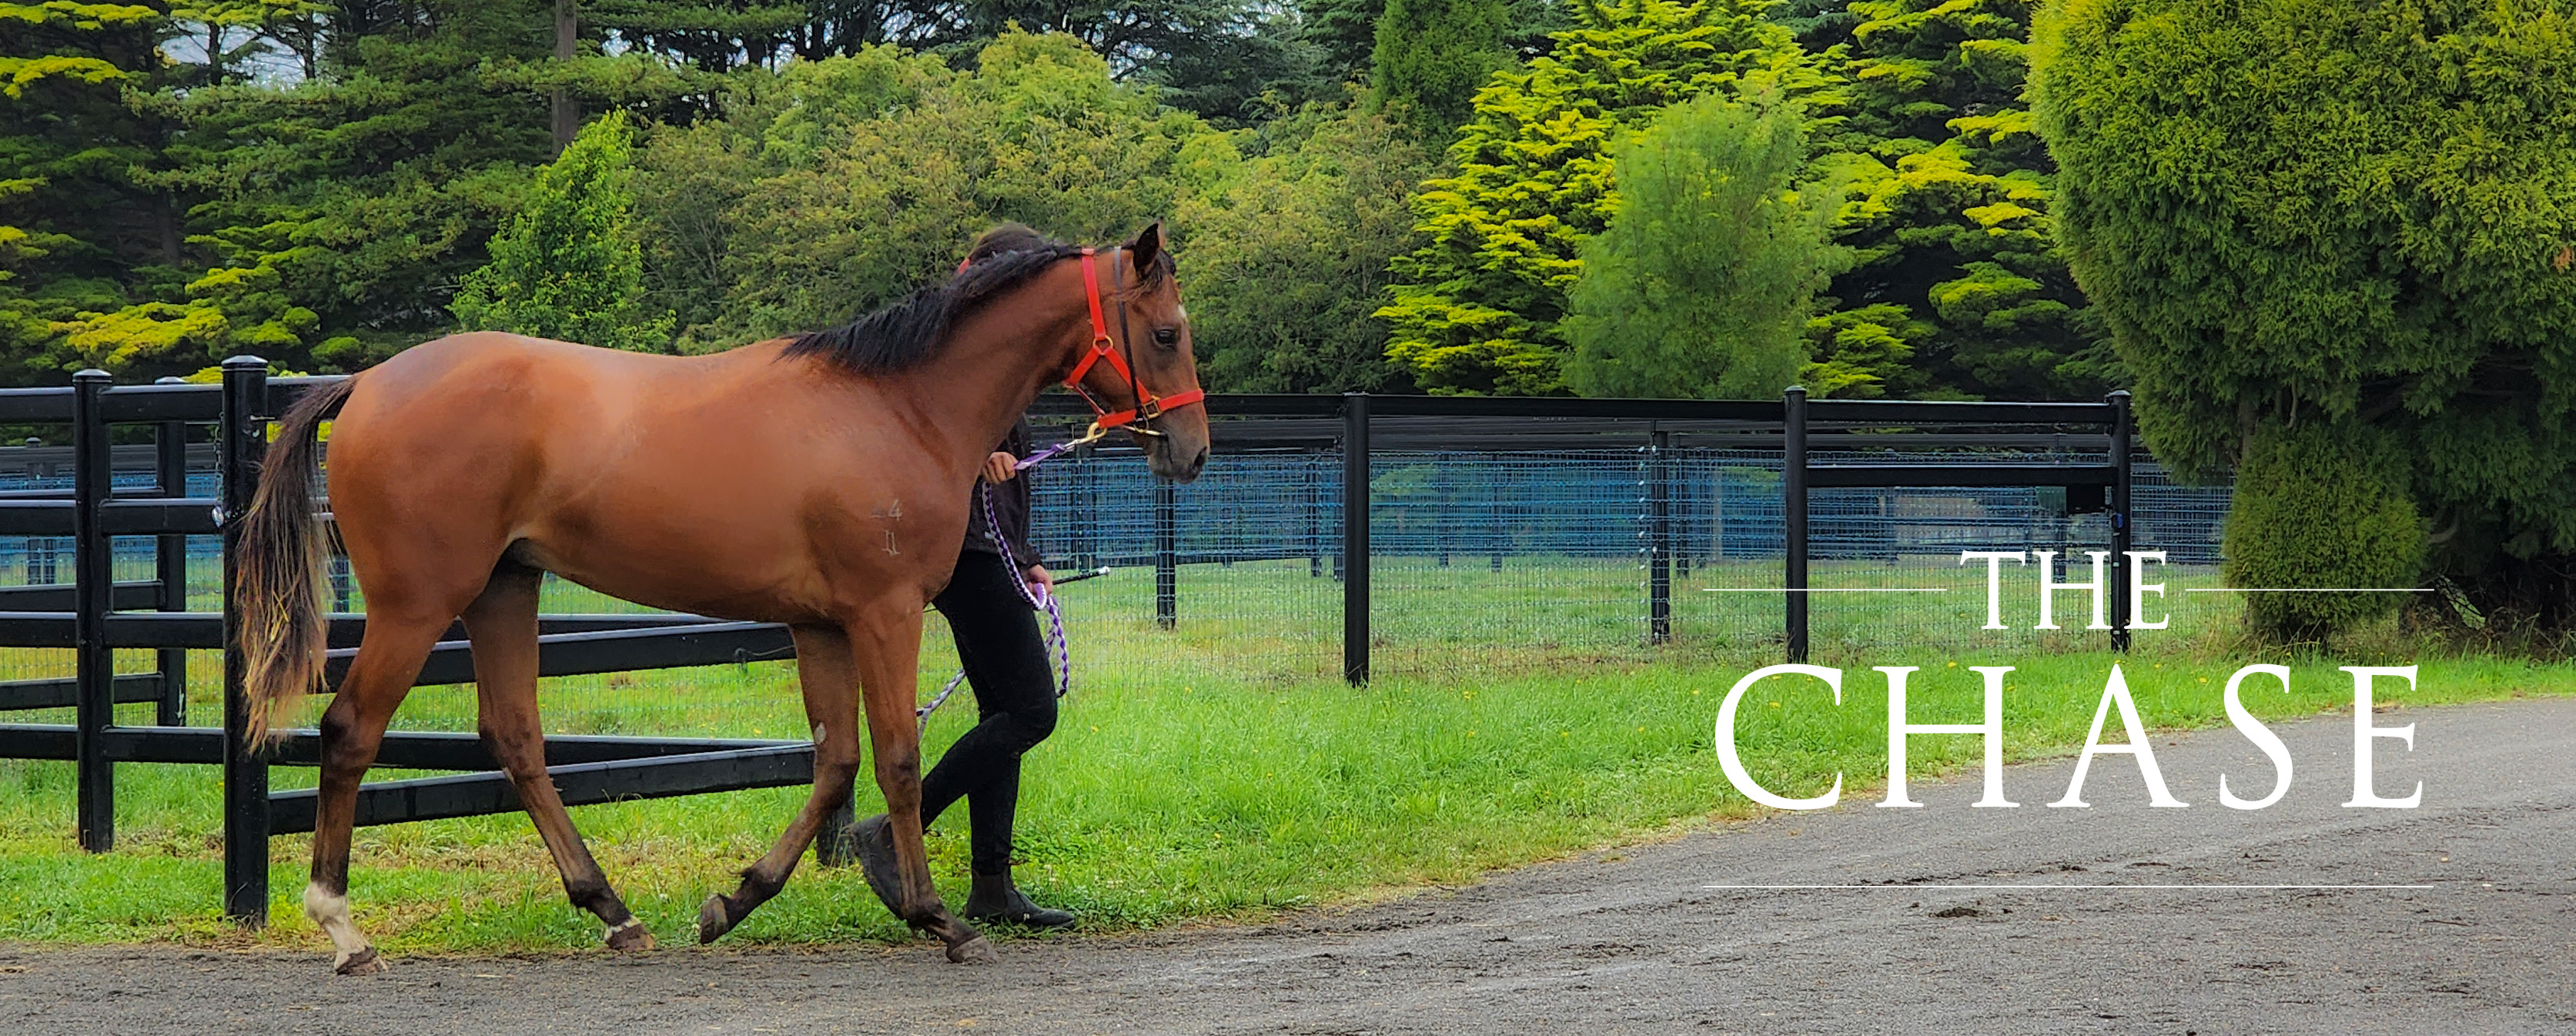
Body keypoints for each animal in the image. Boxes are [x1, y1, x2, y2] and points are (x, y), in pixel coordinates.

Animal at [236, 224, 1200, 968]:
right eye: (1164, 332)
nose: (1190, 449)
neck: (896, 406)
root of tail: (368, 383)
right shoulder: (883, 613)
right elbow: (895, 757)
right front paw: (938, 918)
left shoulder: (820, 624)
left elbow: (834, 761)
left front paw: (736, 900)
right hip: (419, 604)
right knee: (350, 730)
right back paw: (343, 927)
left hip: (504, 589)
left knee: (515, 740)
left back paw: (613, 910)